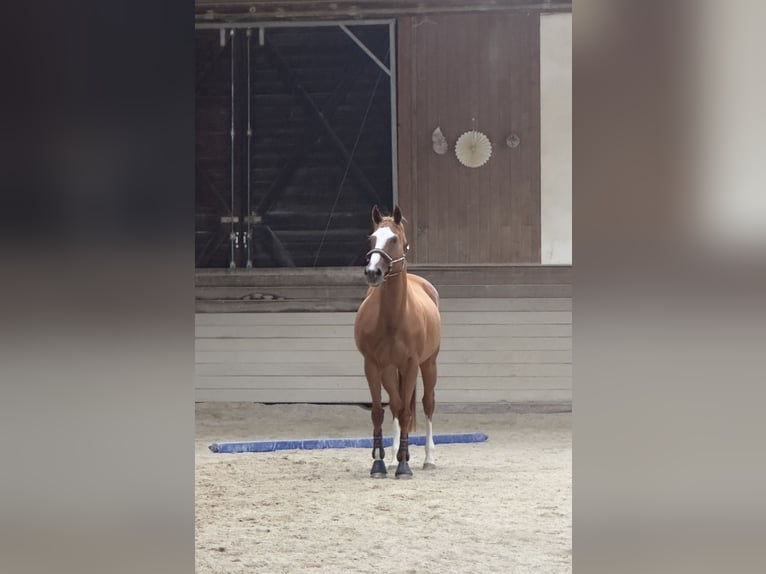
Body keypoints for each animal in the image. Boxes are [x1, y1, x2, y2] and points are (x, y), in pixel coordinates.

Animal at [353, 205, 441, 479]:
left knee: (427, 404)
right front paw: (381, 463)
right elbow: (380, 411)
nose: (373, 272)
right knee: (395, 403)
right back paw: (393, 458)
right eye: (371, 238)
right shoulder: (373, 366)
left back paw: (428, 458)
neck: (394, 317)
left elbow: (406, 411)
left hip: (429, 364)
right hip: (390, 370)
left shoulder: (412, 365)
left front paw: (404, 467)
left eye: (393, 239)